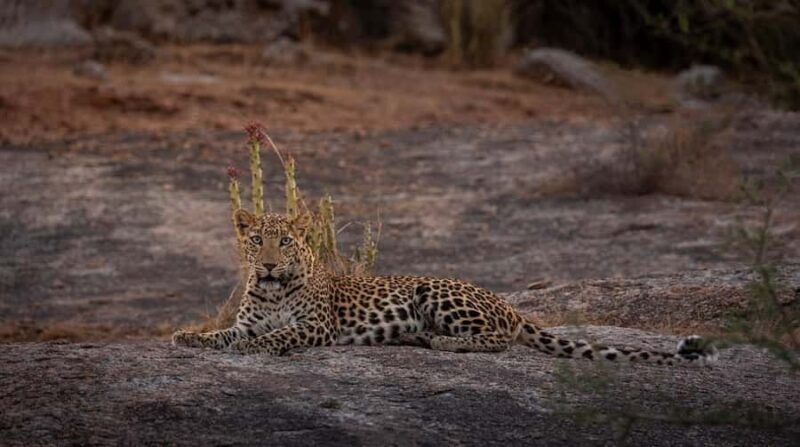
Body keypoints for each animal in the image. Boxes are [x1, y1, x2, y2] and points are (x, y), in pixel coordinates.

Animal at [173, 210, 718, 366]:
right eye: (257, 241)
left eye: (285, 242)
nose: (266, 263)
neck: (270, 289)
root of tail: (508, 303)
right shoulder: (243, 322)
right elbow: (224, 335)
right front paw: (188, 337)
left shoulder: (315, 328)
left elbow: (276, 336)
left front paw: (255, 350)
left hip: (436, 293)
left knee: (498, 340)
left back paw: (442, 341)